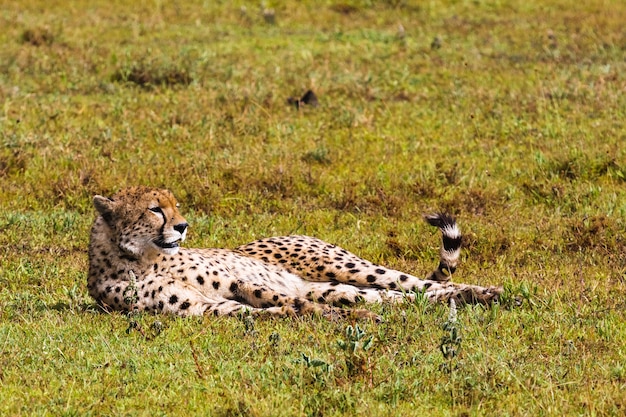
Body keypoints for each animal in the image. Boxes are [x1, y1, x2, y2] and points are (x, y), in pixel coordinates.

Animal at [88, 185, 500, 318]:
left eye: (174, 205)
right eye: (155, 209)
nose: (183, 225)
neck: (142, 259)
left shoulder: (236, 281)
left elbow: (276, 298)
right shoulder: (205, 307)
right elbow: (268, 310)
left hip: (344, 267)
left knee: (422, 284)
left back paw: (488, 293)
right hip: (340, 286)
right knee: (398, 297)